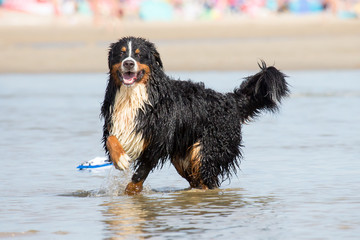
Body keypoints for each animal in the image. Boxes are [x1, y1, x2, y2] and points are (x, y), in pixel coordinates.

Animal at [101, 37, 290, 195]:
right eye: (121, 53)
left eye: (139, 54)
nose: (128, 63)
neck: (132, 95)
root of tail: (230, 100)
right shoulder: (115, 124)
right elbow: (111, 139)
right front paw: (120, 159)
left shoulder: (158, 141)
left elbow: (140, 174)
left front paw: (130, 193)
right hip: (183, 158)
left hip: (206, 153)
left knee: (208, 181)